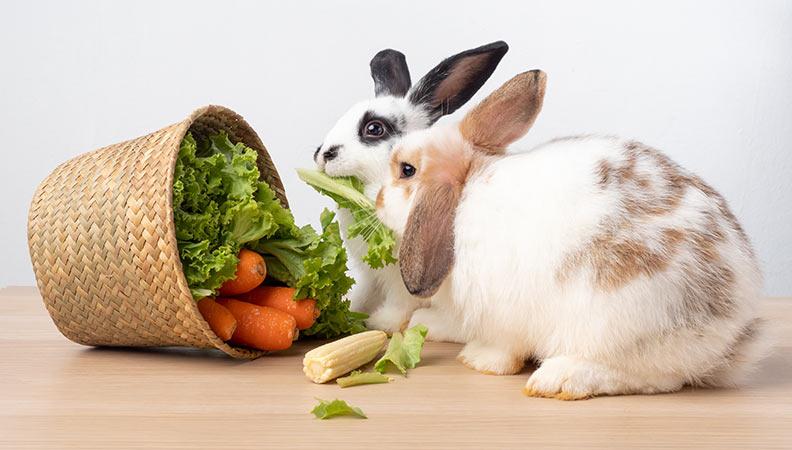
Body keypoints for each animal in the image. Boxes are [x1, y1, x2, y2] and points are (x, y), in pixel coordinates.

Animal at [314, 41, 509, 334]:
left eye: (374, 128)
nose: (324, 154)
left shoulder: (404, 275)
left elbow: (400, 302)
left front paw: (382, 322)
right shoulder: (372, 275)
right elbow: (364, 293)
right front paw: (354, 310)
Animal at [375, 70, 770, 399]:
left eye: (406, 170)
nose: (377, 200)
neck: (463, 195)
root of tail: (732, 331)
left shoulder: (502, 313)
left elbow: (503, 350)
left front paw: (479, 360)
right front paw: (427, 323)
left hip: (617, 321)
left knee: (655, 378)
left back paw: (560, 378)